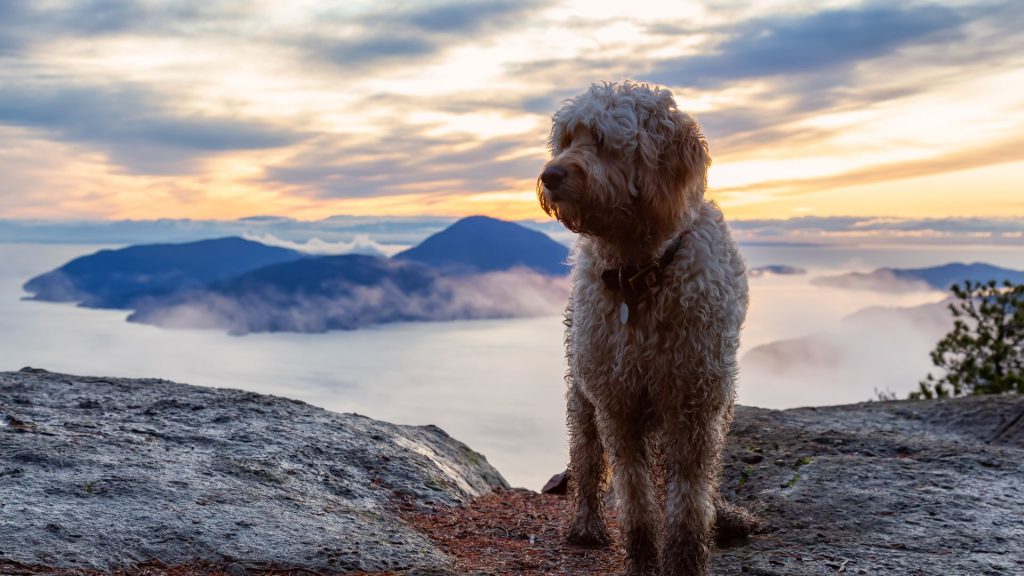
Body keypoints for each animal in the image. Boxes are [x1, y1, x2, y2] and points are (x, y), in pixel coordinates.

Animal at [536, 81, 753, 573]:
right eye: (567, 138)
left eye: (600, 138)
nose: (550, 175)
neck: (640, 273)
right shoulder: (619, 407)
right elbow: (635, 498)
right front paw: (641, 558)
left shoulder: (696, 406)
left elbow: (690, 502)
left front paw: (686, 559)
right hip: (583, 395)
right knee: (587, 461)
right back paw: (586, 524)